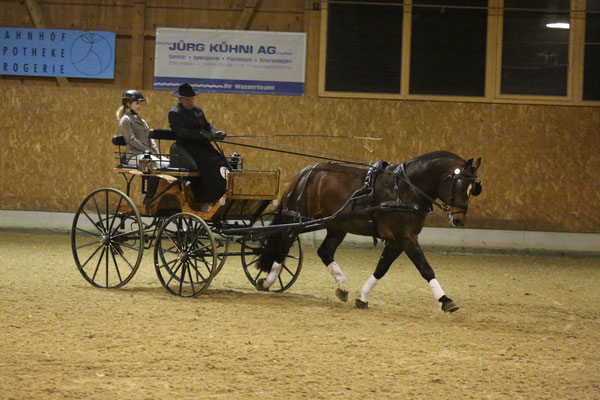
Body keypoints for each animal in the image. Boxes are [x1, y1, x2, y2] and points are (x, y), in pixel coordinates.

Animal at [255, 152, 480, 310]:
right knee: (283, 247)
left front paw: (362, 298)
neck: (404, 190)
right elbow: (425, 268)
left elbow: (381, 268)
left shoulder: (397, 241)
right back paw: (268, 282)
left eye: (474, 188)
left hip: (337, 225)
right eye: (459, 185)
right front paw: (446, 300)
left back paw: (342, 286)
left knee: (324, 252)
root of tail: (304, 172)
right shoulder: (407, 238)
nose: (459, 219)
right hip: (296, 220)